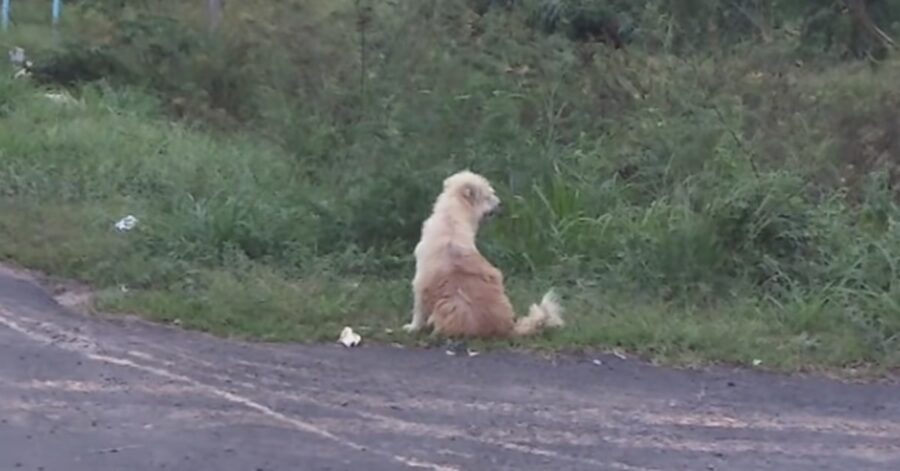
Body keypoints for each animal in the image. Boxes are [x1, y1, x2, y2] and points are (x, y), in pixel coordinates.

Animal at [406, 171, 568, 338]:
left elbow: (418, 312)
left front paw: (412, 328)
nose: (501, 203)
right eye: (488, 196)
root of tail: (509, 327)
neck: (452, 217)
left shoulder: (419, 283)